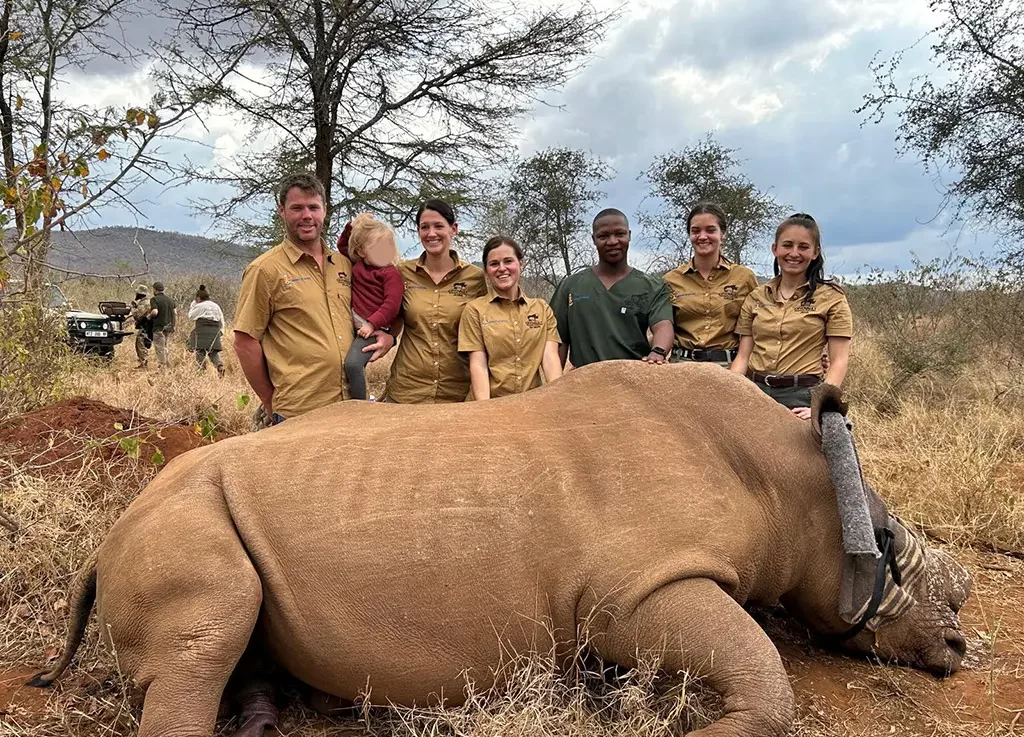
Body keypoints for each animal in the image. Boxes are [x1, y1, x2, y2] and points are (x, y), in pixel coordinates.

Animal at [30, 361, 971, 737]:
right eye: (886, 546)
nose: (961, 641)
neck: (790, 477)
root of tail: (106, 538)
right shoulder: (635, 591)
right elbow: (763, 672)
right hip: (178, 519)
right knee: (209, 630)